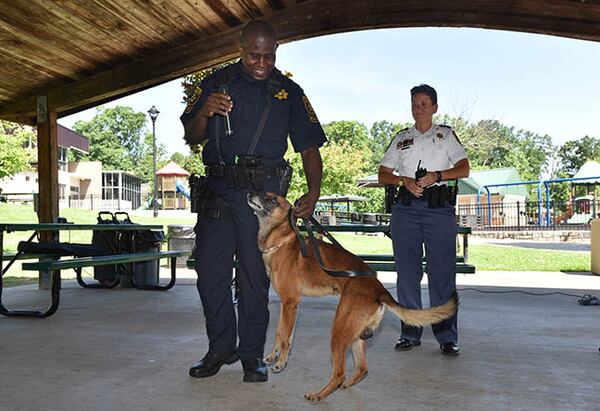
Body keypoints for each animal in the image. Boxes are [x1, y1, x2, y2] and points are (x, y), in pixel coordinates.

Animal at [246, 194, 458, 402]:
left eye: (273, 199)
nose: (250, 193)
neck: (282, 241)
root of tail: (380, 290)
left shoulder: (290, 303)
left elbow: (285, 338)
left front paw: (281, 362)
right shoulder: (285, 305)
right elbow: (279, 333)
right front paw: (272, 356)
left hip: (339, 332)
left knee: (339, 373)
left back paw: (318, 395)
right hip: (355, 334)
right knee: (362, 369)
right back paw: (343, 386)